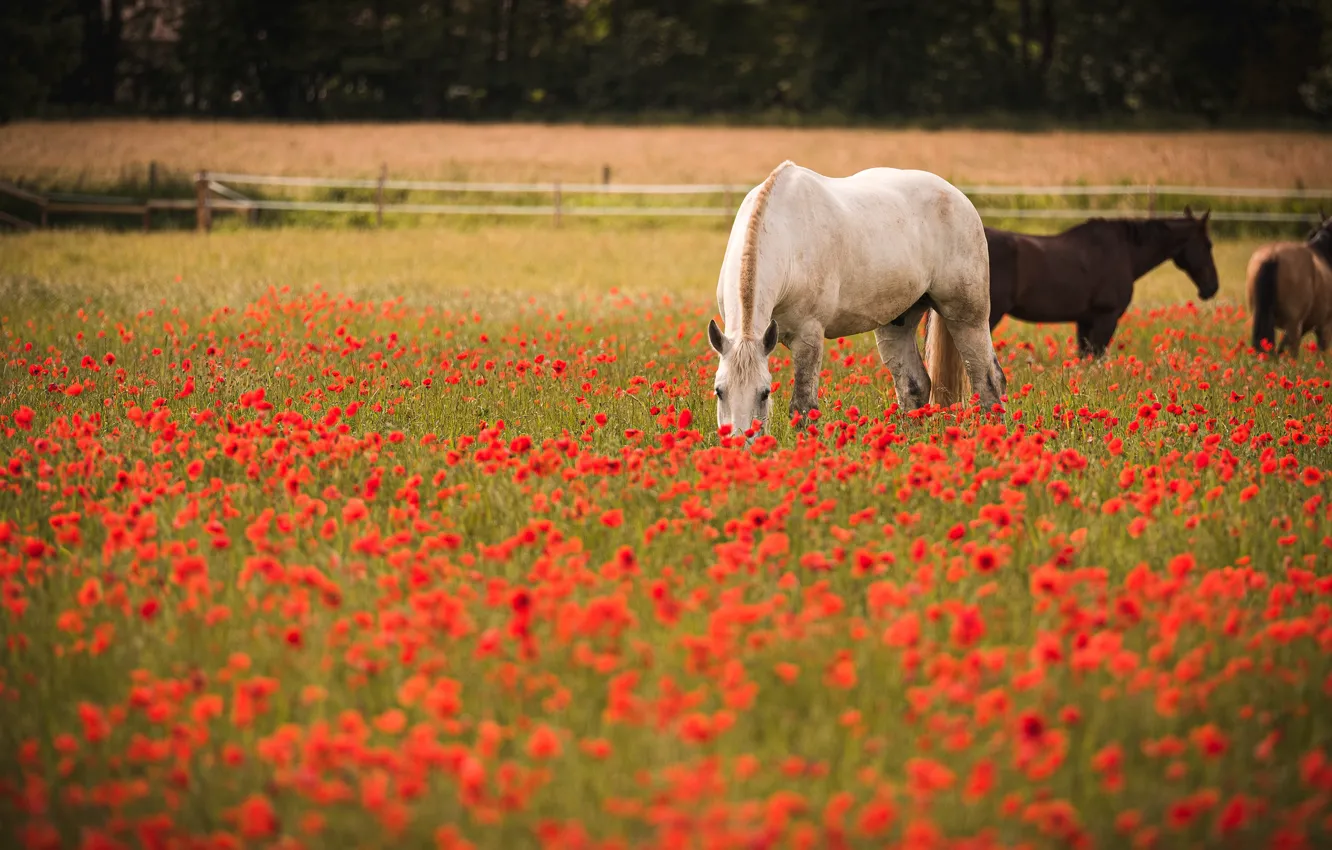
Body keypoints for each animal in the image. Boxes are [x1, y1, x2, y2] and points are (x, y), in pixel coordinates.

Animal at [713, 161, 1001, 439]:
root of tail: (957, 196)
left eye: (764, 392)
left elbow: (803, 406)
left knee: (989, 380)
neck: (787, 236)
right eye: (719, 391)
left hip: (967, 317)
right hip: (896, 325)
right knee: (915, 386)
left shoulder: (808, 337)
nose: (740, 441)